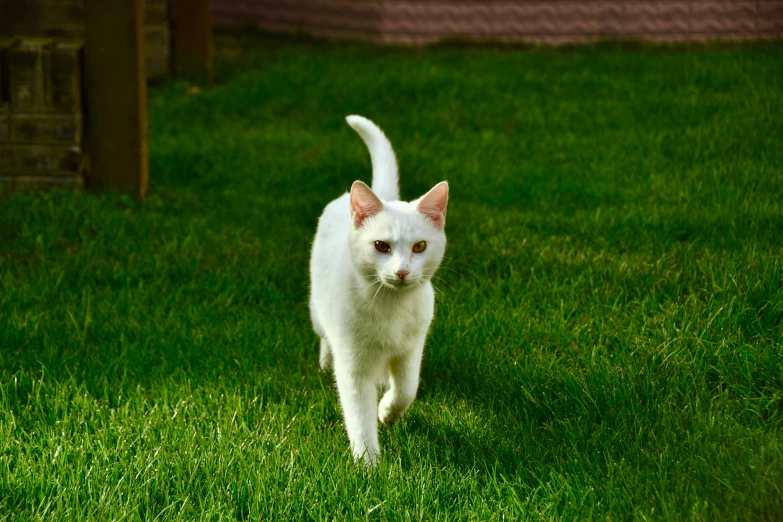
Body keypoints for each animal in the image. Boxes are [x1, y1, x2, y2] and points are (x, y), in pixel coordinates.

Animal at [310, 114, 450, 464]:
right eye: (381, 246)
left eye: (420, 246)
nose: (402, 271)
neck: (390, 307)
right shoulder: (353, 367)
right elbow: (359, 416)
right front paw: (368, 464)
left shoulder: (412, 348)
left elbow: (407, 388)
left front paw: (388, 412)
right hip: (317, 310)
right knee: (323, 336)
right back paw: (324, 361)